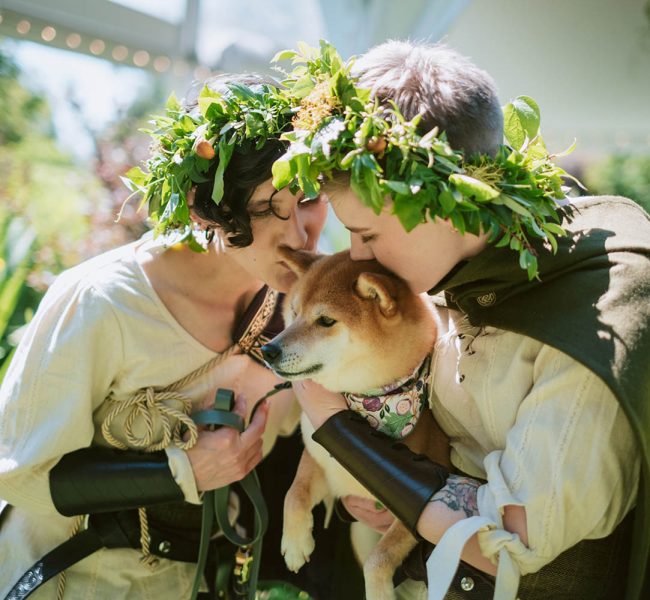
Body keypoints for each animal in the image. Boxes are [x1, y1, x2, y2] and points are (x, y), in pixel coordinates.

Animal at [260, 248, 448, 600]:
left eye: (326, 321)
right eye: (294, 312)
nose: (268, 349)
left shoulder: (415, 514)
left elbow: (380, 558)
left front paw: (379, 592)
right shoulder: (321, 462)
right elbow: (295, 493)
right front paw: (294, 544)